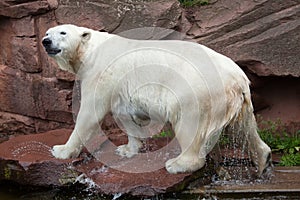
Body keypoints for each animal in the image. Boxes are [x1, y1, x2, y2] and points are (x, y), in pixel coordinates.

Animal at [41, 24, 272, 175]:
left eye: (62, 33)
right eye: (47, 32)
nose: (45, 41)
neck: (91, 51)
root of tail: (237, 76)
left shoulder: (101, 73)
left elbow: (90, 112)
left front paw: (61, 150)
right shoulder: (120, 86)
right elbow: (124, 114)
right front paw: (127, 149)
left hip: (196, 92)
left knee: (190, 125)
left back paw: (177, 164)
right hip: (236, 99)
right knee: (244, 126)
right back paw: (263, 159)